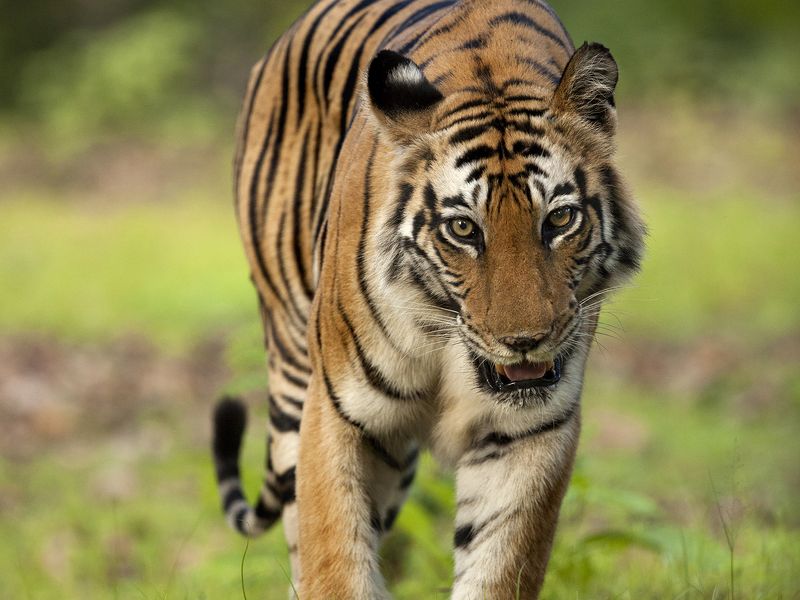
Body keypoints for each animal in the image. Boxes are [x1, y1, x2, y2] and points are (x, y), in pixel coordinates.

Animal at [211, 0, 644, 592]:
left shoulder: (530, 431)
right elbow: (335, 564)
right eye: (463, 229)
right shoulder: (337, 415)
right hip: (294, 372)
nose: (524, 341)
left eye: (559, 219)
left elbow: (497, 569)